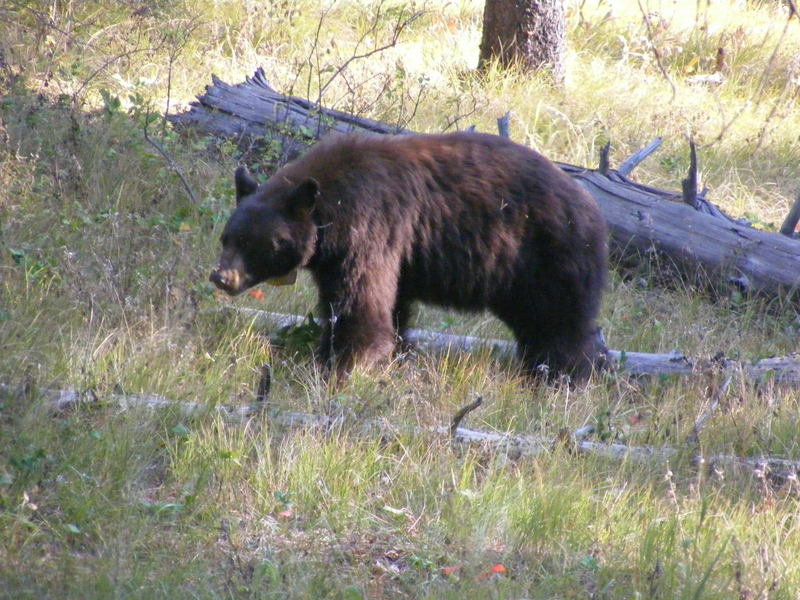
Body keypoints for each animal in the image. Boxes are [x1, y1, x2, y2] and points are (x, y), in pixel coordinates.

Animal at [209, 134, 608, 382]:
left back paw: (562, 377)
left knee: (561, 324)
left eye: (254, 243)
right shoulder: (349, 255)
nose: (222, 277)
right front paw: (391, 356)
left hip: (548, 255)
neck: (331, 207)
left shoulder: (371, 226)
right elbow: (389, 305)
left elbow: (361, 306)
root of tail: (591, 205)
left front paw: (339, 366)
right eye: (226, 237)